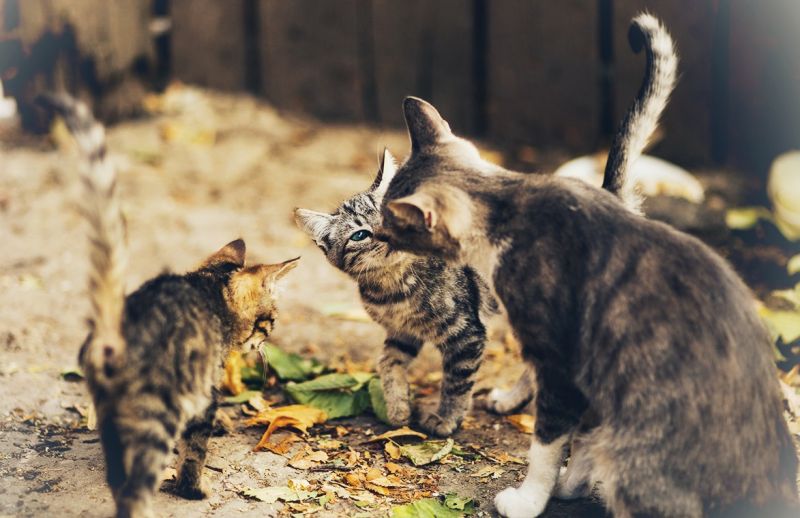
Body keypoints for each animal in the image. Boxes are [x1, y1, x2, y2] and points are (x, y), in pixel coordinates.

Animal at [376, 11, 800, 518]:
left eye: (390, 224)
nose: (375, 235)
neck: (510, 201)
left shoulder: (566, 363)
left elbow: (547, 443)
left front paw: (529, 498)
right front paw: (565, 481)